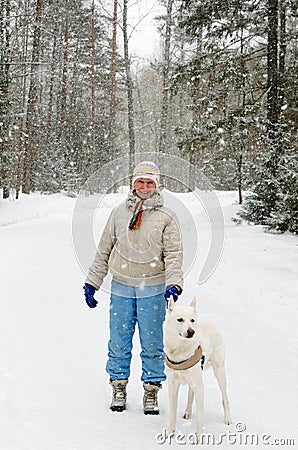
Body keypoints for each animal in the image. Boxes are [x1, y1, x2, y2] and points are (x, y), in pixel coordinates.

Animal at [164, 298, 232, 442]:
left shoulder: (200, 387)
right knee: (191, 393)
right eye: (180, 319)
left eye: (192, 320)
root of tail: (211, 324)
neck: (181, 350)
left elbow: (200, 417)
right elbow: (172, 414)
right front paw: (169, 434)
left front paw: (199, 439)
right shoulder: (172, 385)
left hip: (219, 372)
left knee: (225, 397)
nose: (191, 332)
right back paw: (187, 412)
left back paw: (228, 419)